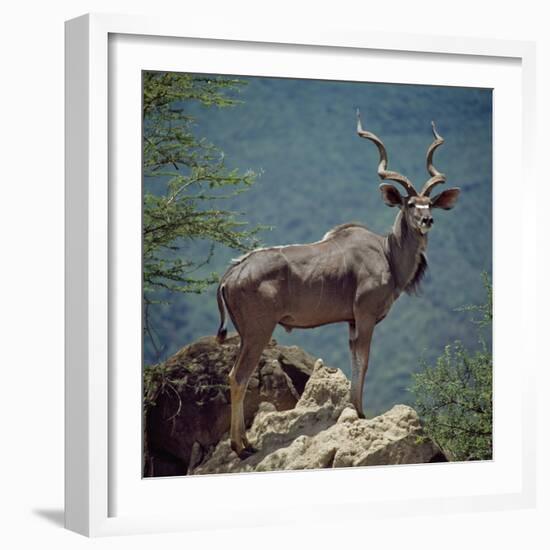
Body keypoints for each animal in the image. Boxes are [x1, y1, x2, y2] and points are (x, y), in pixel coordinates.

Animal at [216, 111, 462, 458]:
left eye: (429, 203)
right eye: (410, 204)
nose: (427, 220)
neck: (387, 252)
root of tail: (231, 274)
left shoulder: (351, 321)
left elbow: (355, 360)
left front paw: (354, 409)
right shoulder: (366, 316)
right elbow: (365, 361)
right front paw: (359, 412)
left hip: (245, 334)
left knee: (234, 375)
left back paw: (245, 442)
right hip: (258, 331)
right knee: (239, 377)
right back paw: (241, 447)